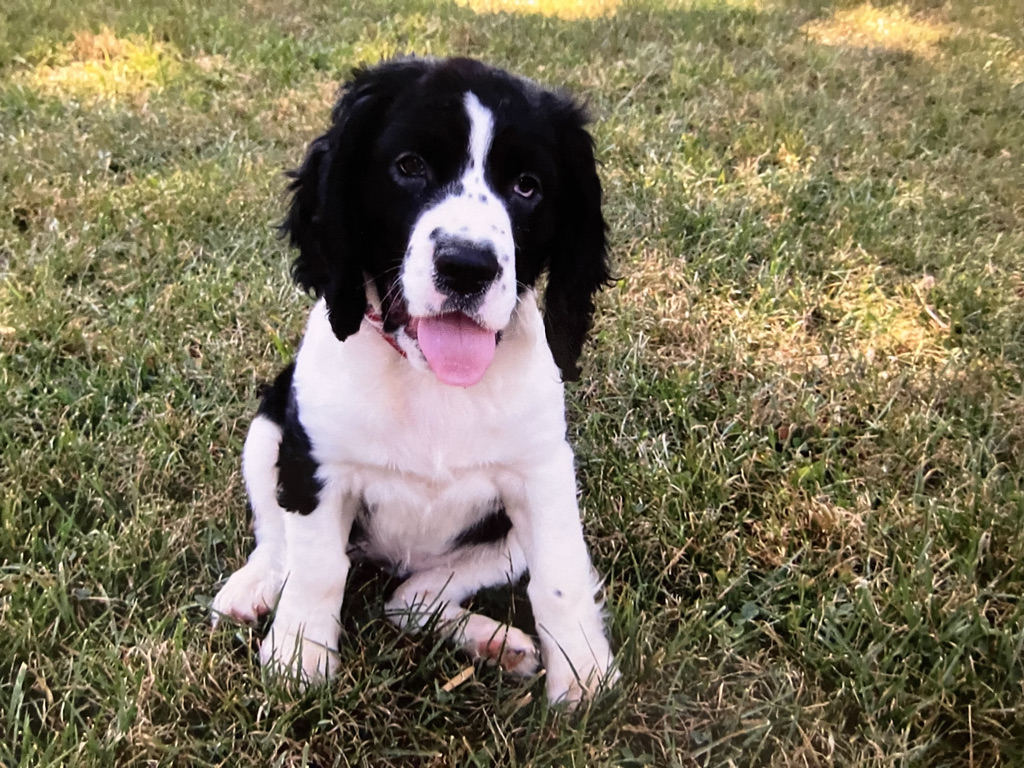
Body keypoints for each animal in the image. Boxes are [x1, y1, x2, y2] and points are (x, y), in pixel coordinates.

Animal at [209, 55, 614, 704]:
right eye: (410, 167)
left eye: (527, 186)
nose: (467, 266)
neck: (429, 383)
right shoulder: (313, 460)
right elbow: (318, 568)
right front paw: (299, 660)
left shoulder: (543, 474)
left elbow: (560, 576)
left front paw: (583, 680)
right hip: (267, 428)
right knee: (278, 536)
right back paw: (253, 587)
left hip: (500, 544)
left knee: (408, 599)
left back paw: (495, 643)